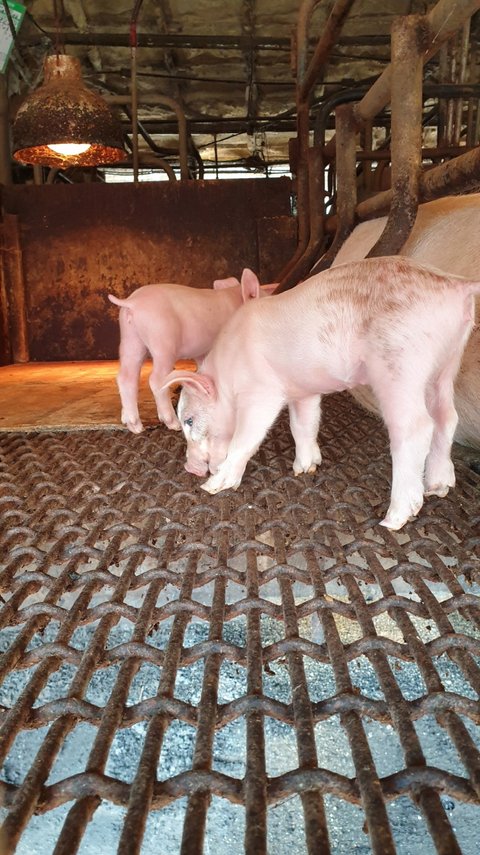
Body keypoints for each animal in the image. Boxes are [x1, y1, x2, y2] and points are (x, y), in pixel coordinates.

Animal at [108, 270, 273, 433]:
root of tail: (133, 302)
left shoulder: (202, 352)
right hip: (162, 341)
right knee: (156, 379)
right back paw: (173, 424)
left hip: (130, 339)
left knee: (126, 377)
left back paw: (135, 426)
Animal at [159, 256, 480, 531]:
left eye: (189, 420)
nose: (190, 468)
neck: (228, 373)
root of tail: (455, 284)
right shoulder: (303, 392)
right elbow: (303, 425)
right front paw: (304, 468)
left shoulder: (260, 393)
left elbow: (245, 438)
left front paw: (213, 487)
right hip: (446, 364)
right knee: (447, 417)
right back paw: (438, 487)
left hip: (401, 363)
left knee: (416, 427)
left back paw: (393, 519)